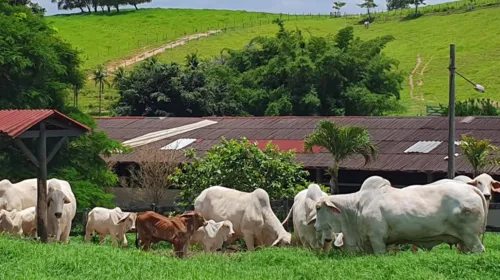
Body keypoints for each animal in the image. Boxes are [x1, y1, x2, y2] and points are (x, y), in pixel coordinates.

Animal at [308, 176, 488, 255]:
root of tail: (472, 188)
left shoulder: (377, 239)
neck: (356, 207)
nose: (315, 226)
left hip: (471, 236)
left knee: (479, 249)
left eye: (318, 207)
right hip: (464, 241)